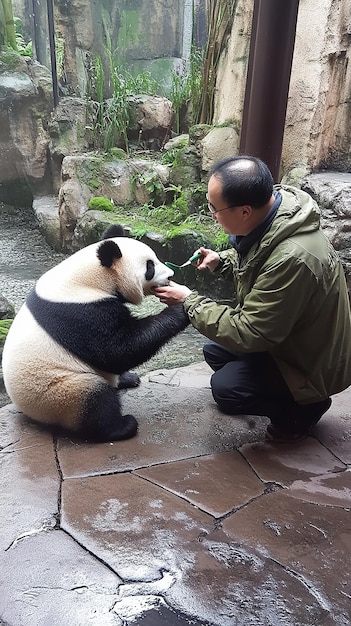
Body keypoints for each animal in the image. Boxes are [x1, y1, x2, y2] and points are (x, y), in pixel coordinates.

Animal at [2, 223, 190, 438]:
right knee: (96, 400)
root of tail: (31, 413)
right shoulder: (79, 312)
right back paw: (122, 426)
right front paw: (180, 308)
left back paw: (127, 379)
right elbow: (117, 350)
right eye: (149, 267)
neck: (89, 277)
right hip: (58, 391)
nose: (170, 276)